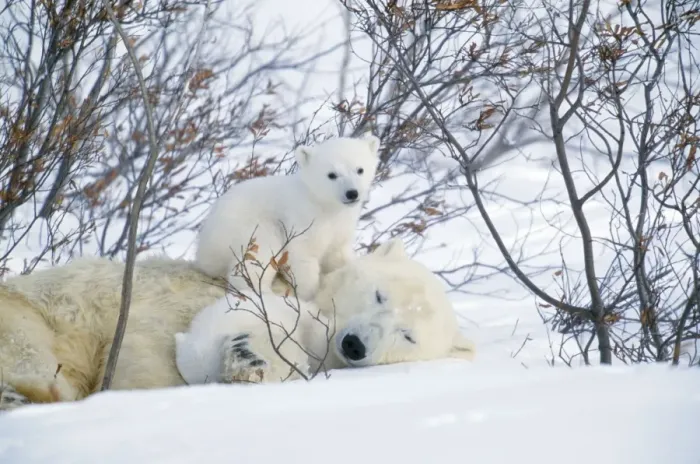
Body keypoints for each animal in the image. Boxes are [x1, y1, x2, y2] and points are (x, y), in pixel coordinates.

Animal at [194, 135, 381, 302]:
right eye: (332, 174)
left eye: (360, 169)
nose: (352, 193)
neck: (323, 205)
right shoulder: (303, 220)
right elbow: (303, 256)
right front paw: (308, 296)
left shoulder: (341, 225)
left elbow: (338, 254)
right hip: (246, 228)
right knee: (258, 254)